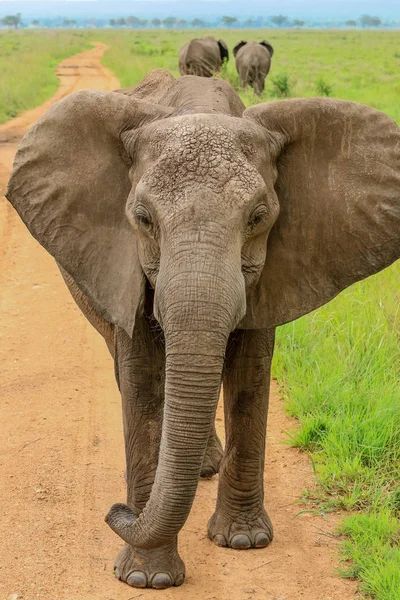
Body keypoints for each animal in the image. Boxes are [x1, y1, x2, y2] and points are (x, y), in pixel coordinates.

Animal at [6, 70, 400, 592]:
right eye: (142, 218)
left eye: (258, 217)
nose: (116, 512)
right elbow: (142, 379)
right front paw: (146, 578)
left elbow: (250, 375)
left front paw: (244, 542)